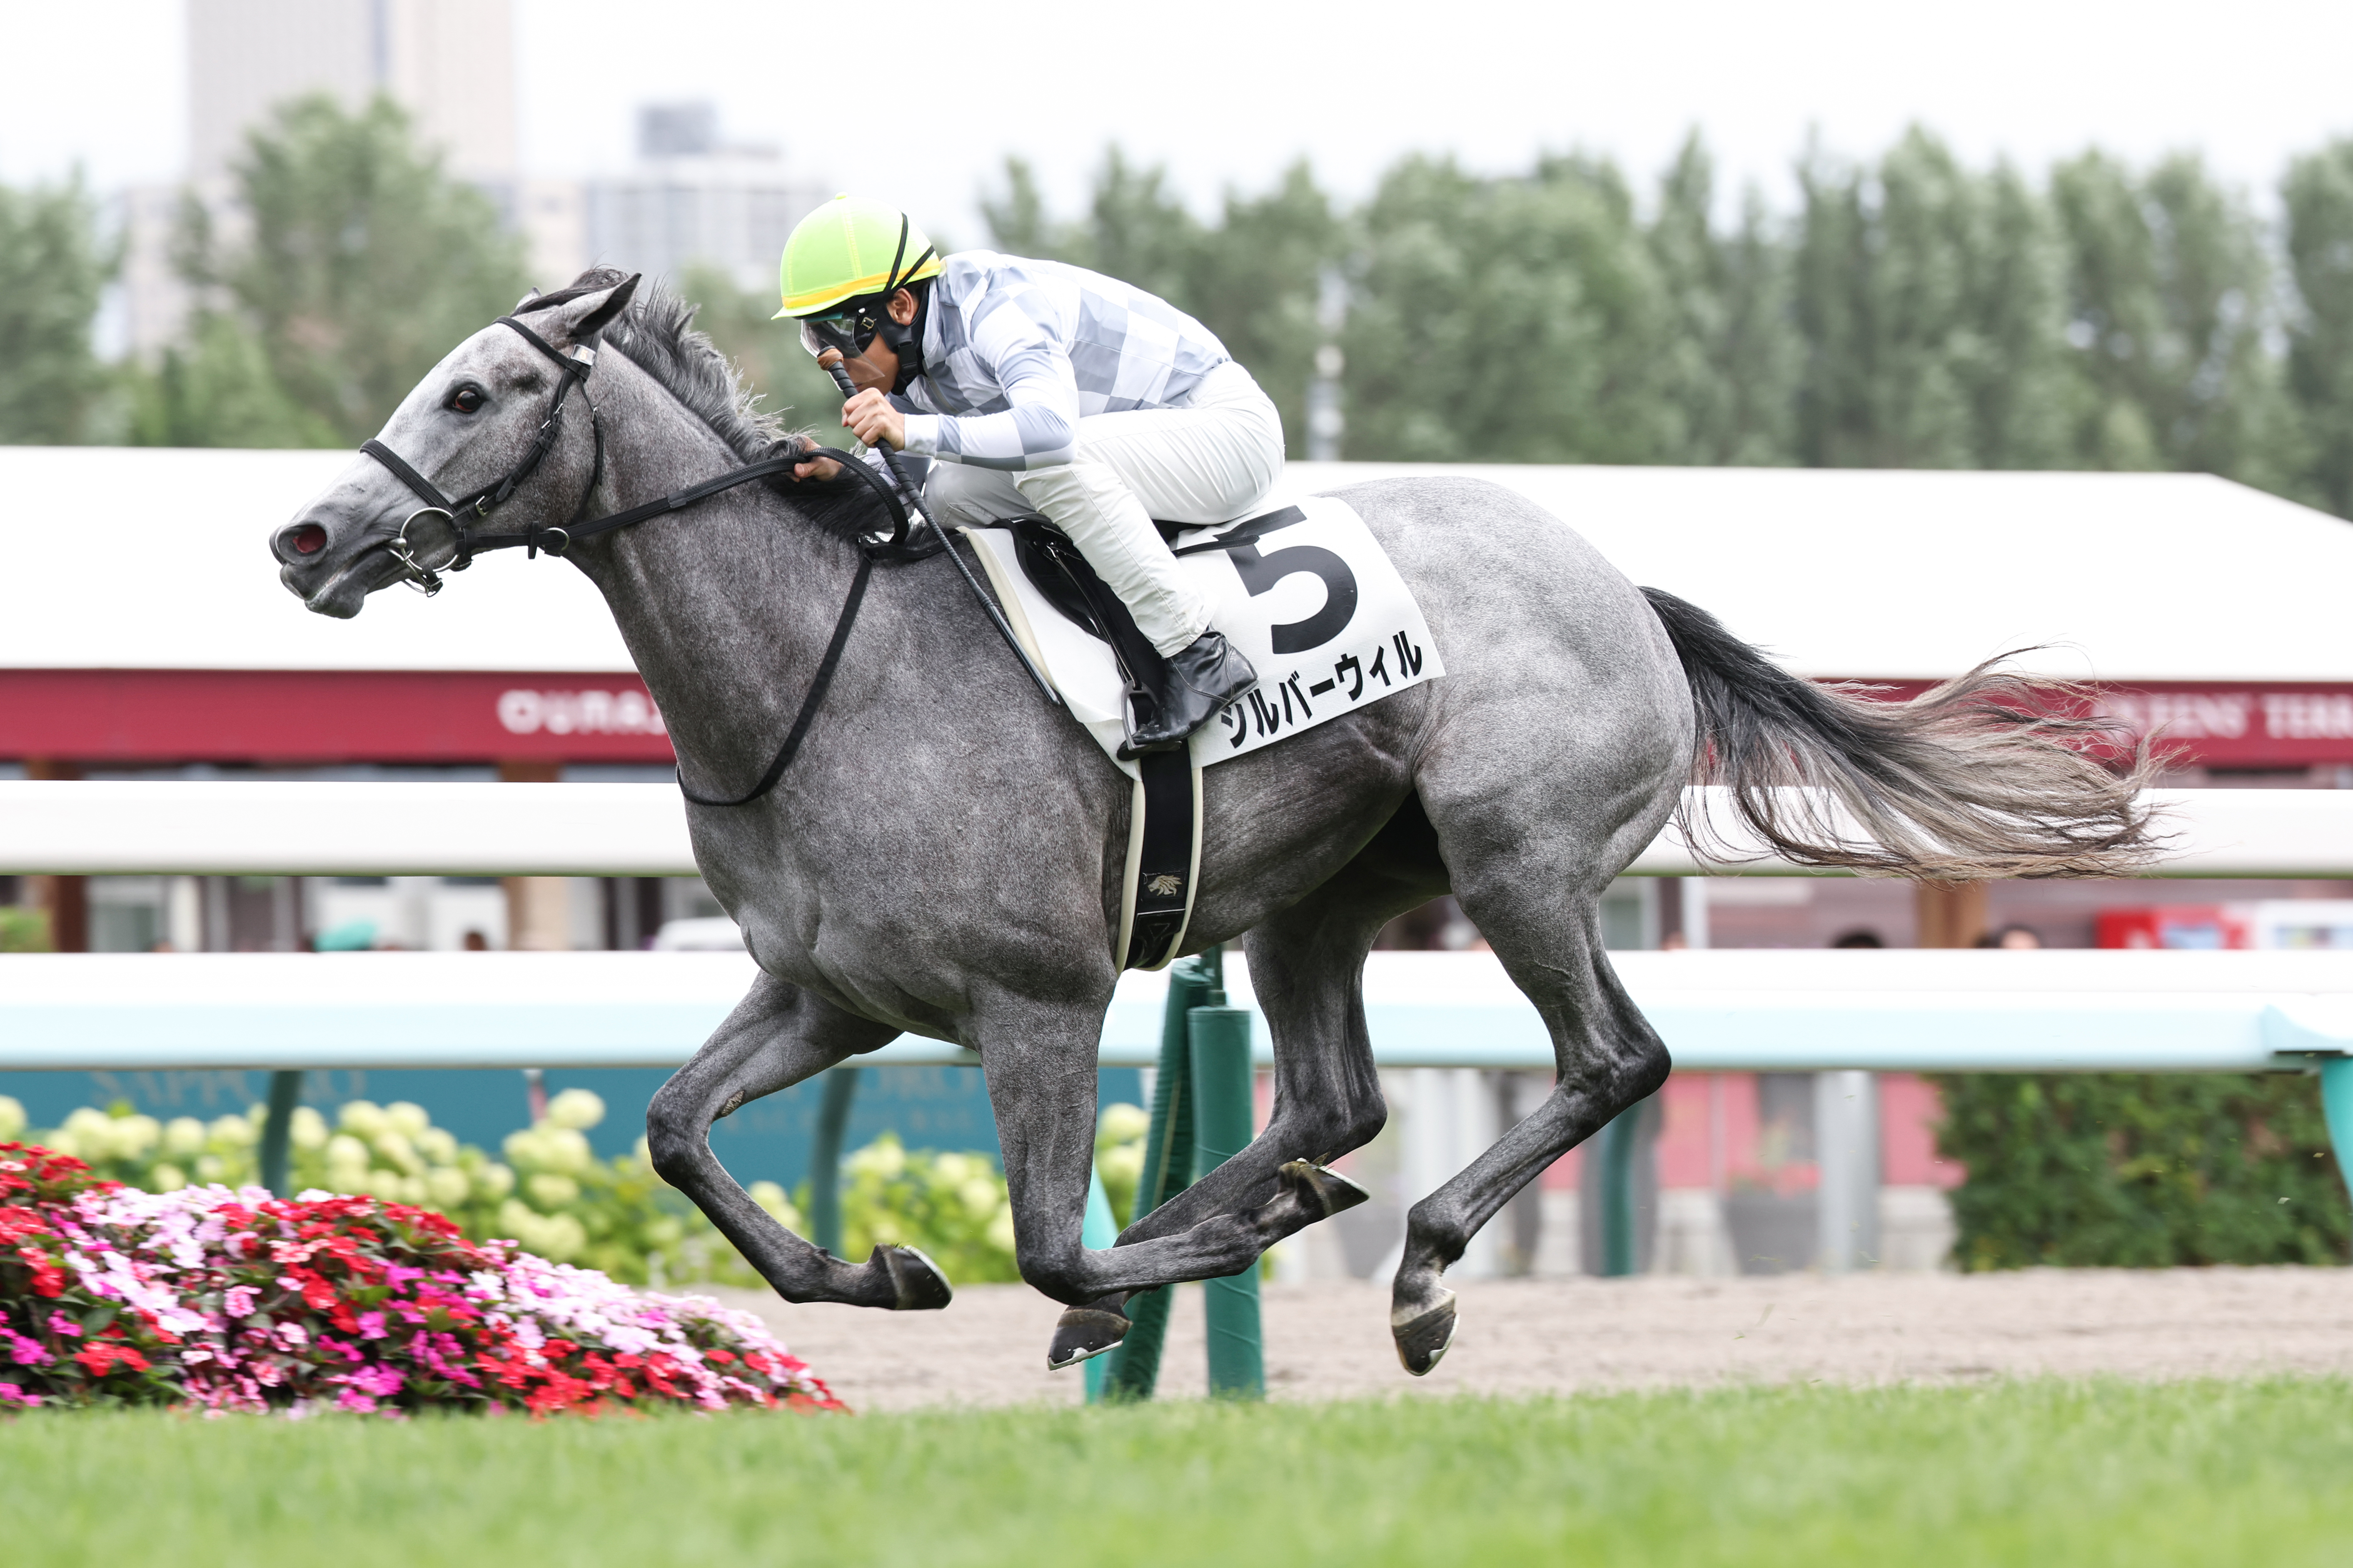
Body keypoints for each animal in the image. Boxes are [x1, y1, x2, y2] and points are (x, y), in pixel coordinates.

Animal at [270, 269, 2156, 1374]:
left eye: (470, 394)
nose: (304, 537)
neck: (825, 661)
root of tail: (1624, 586)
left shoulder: (1035, 995)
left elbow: (1041, 1239)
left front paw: (1098, 1272)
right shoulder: (830, 990)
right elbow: (676, 1132)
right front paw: (886, 1272)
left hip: (1516, 859)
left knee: (1609, 1060)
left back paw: (1407, 1269)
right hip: (1316, 900)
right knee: (1329, 1099)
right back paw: (1260, 1214)